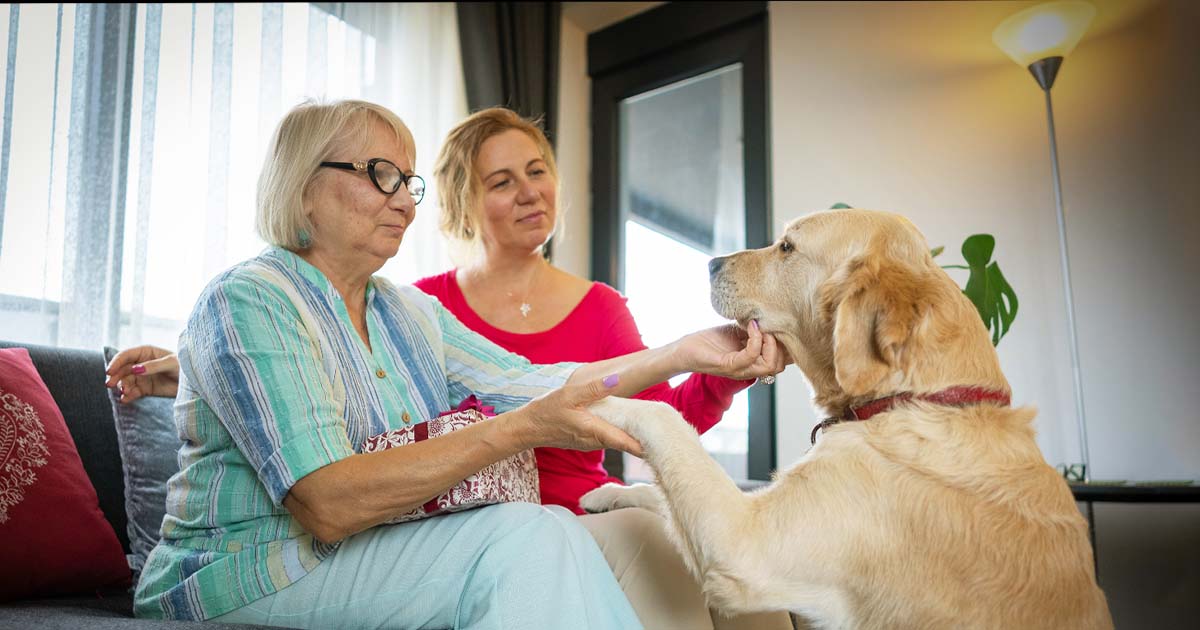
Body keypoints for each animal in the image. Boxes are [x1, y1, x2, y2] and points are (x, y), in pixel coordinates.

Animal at [576, 208, 1108, 624]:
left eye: (787, 247)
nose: (710, 262)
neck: (913, 398)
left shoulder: (749, 544)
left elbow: (664, 416)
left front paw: (585, 396)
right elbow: (661, 490)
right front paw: (608, 493)